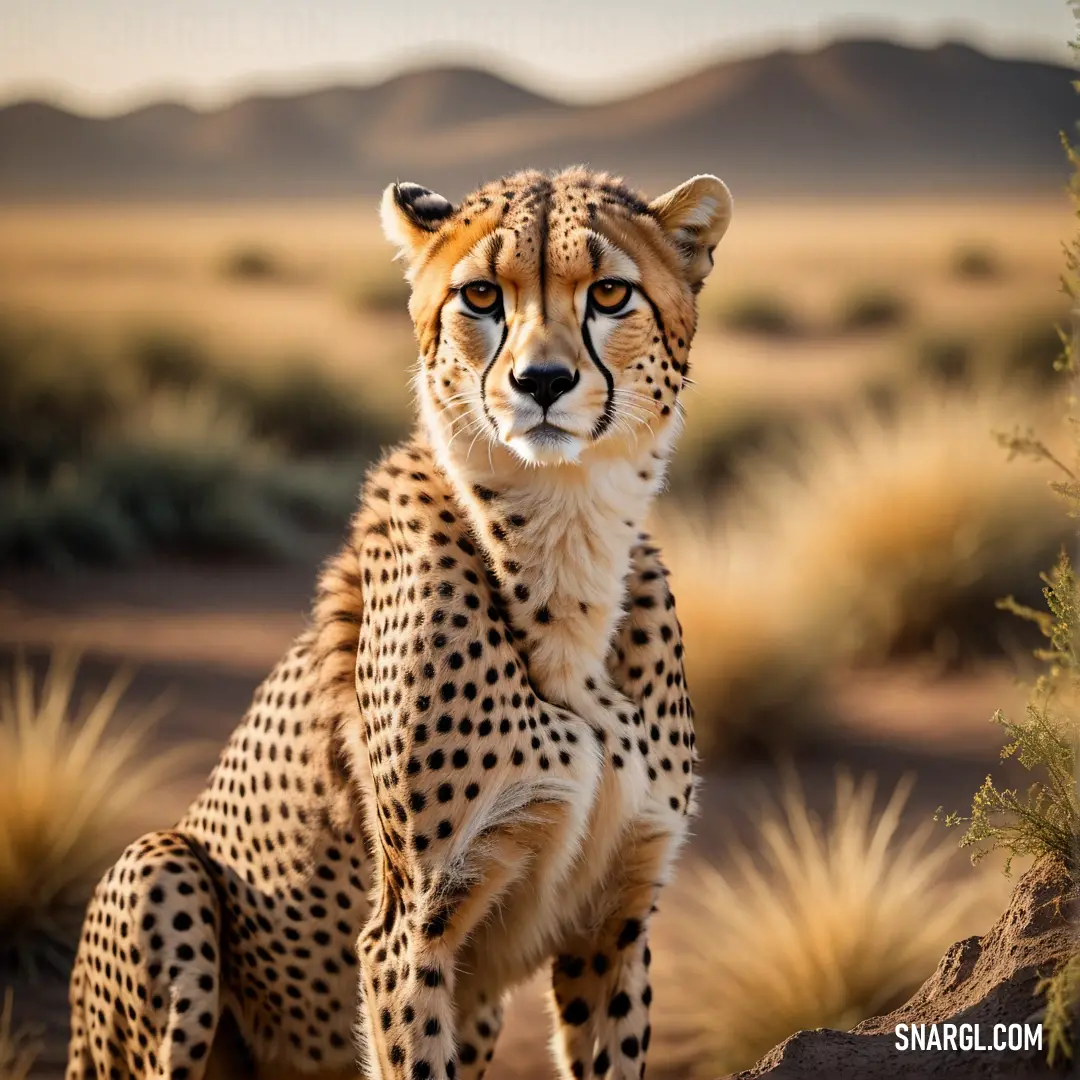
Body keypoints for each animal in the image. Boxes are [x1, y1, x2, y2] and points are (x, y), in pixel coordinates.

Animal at [67, 162, 734, 1080]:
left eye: (609, 292)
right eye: (481, 295)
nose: (542, 382)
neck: (565, 546)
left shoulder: (613, 923)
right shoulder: (407, 928)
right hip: (161, 871)